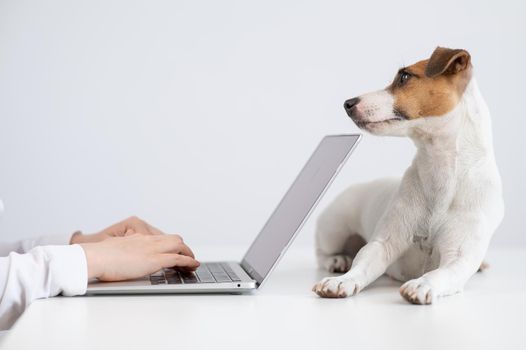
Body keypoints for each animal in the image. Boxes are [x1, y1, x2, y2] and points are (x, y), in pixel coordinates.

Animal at [314, 46, 508, 304]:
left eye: (404, 77)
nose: (347, 103)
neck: (440, 171)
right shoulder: (383, 244)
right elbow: (362, 263)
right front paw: (342, 281)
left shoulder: (459, 257)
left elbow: (441, 273)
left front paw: (422, 284)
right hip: (334, 228)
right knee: (322, 252)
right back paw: (337, 260)